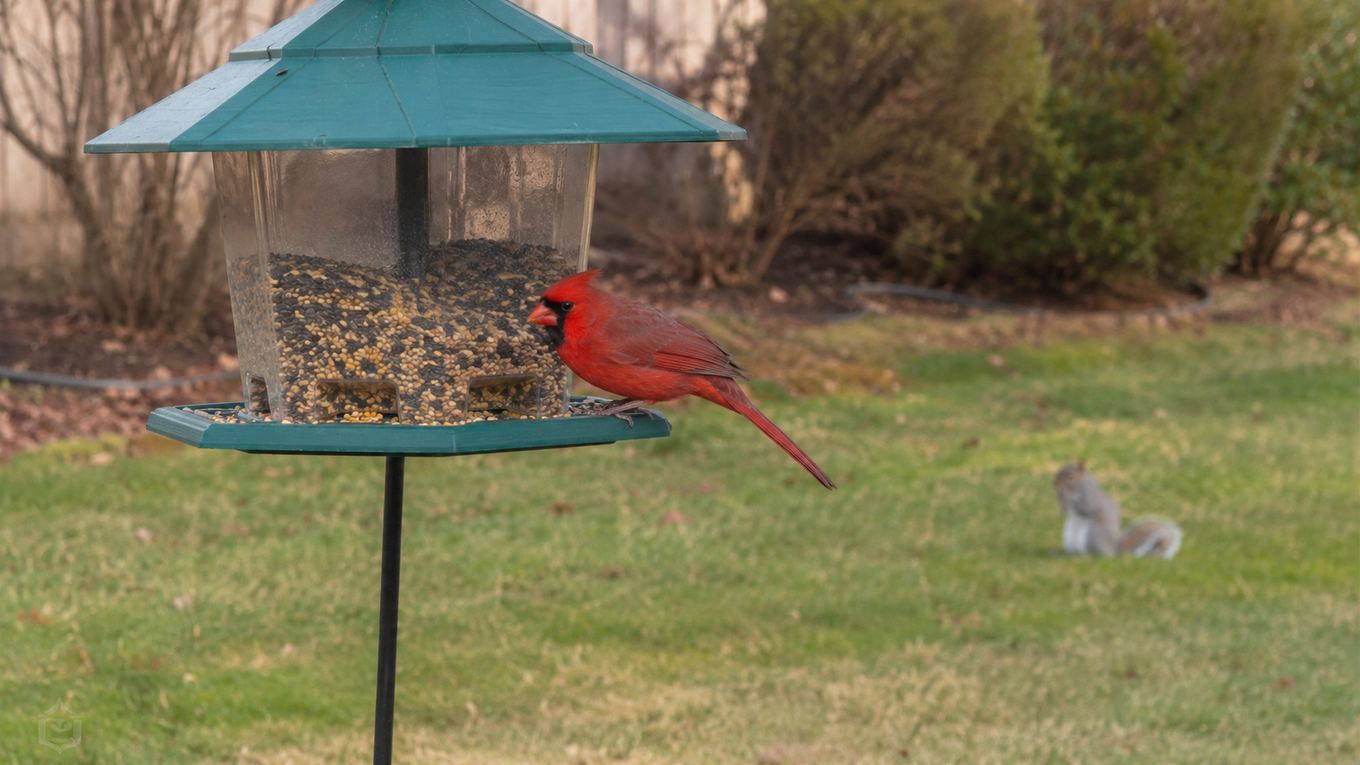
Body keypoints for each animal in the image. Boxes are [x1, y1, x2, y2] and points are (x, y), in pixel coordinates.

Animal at [1053, 462, 1182, 559]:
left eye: (1071, 476)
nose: (1054, 483)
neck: (1080, 486)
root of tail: (1115, 548)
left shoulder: (1091, 499)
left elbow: (1085, 508)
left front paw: (1065, 495)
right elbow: (1065, 511)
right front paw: (1061, 499)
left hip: (1093, 534)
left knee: (1102, 555)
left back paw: (1089, 556)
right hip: (1069, 538)